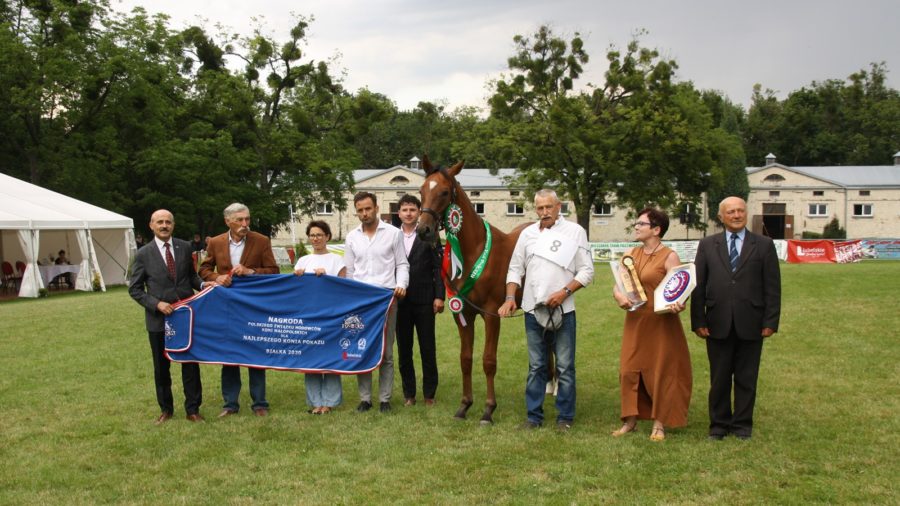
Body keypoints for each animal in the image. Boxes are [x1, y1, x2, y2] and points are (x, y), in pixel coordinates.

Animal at [414, 157, 528, 422]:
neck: (474, 251)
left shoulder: (491, 314)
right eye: (421, 191)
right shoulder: (463, 313)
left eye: (445, 192)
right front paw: (464, 405)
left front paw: (488, 410)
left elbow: (488, 361)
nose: (423, 230)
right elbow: (465, 359)